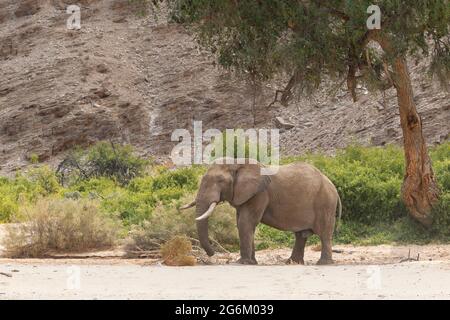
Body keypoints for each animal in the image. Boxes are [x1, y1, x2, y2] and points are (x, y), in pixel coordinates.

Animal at [179, 158, 342, 264]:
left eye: (220, 181)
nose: (212, 254)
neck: (239, 163)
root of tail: (332, 186)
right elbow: (243, 223)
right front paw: (252, 262)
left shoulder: (260, 193)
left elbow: (246, 222)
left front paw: (242, 263)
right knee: (300, 235)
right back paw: (292, 263)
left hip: (325, 204)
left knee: (324, 233)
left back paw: (323, 263)